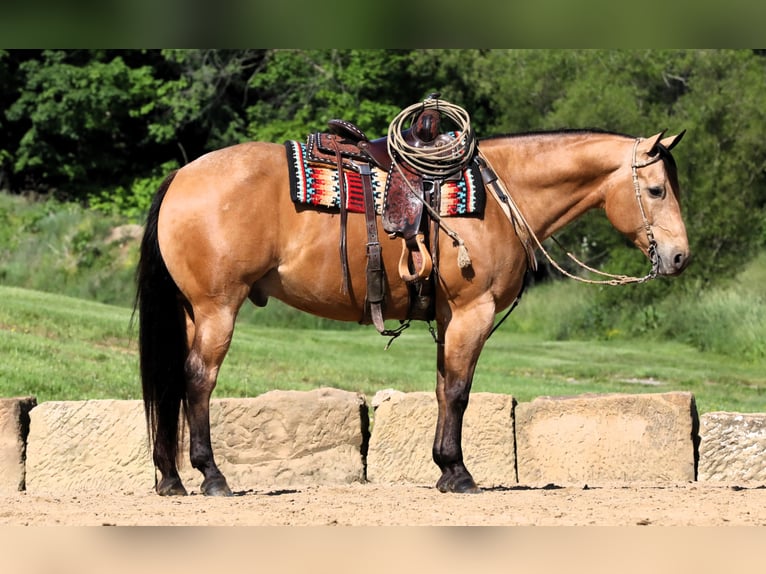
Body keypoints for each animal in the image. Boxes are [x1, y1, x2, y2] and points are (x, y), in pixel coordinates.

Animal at [135, 110, 692, 498]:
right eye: (656, 189)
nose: (679, 256)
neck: (496, 197)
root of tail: (181, 176)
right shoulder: (473, 312)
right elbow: (460, 392)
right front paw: (460, 473)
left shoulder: (450, 317)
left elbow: (444, 387)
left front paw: (445, 469)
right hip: (217, 308)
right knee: (197, 382)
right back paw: (211, 476)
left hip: (192, 312)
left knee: (171, 383)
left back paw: (170, 479)